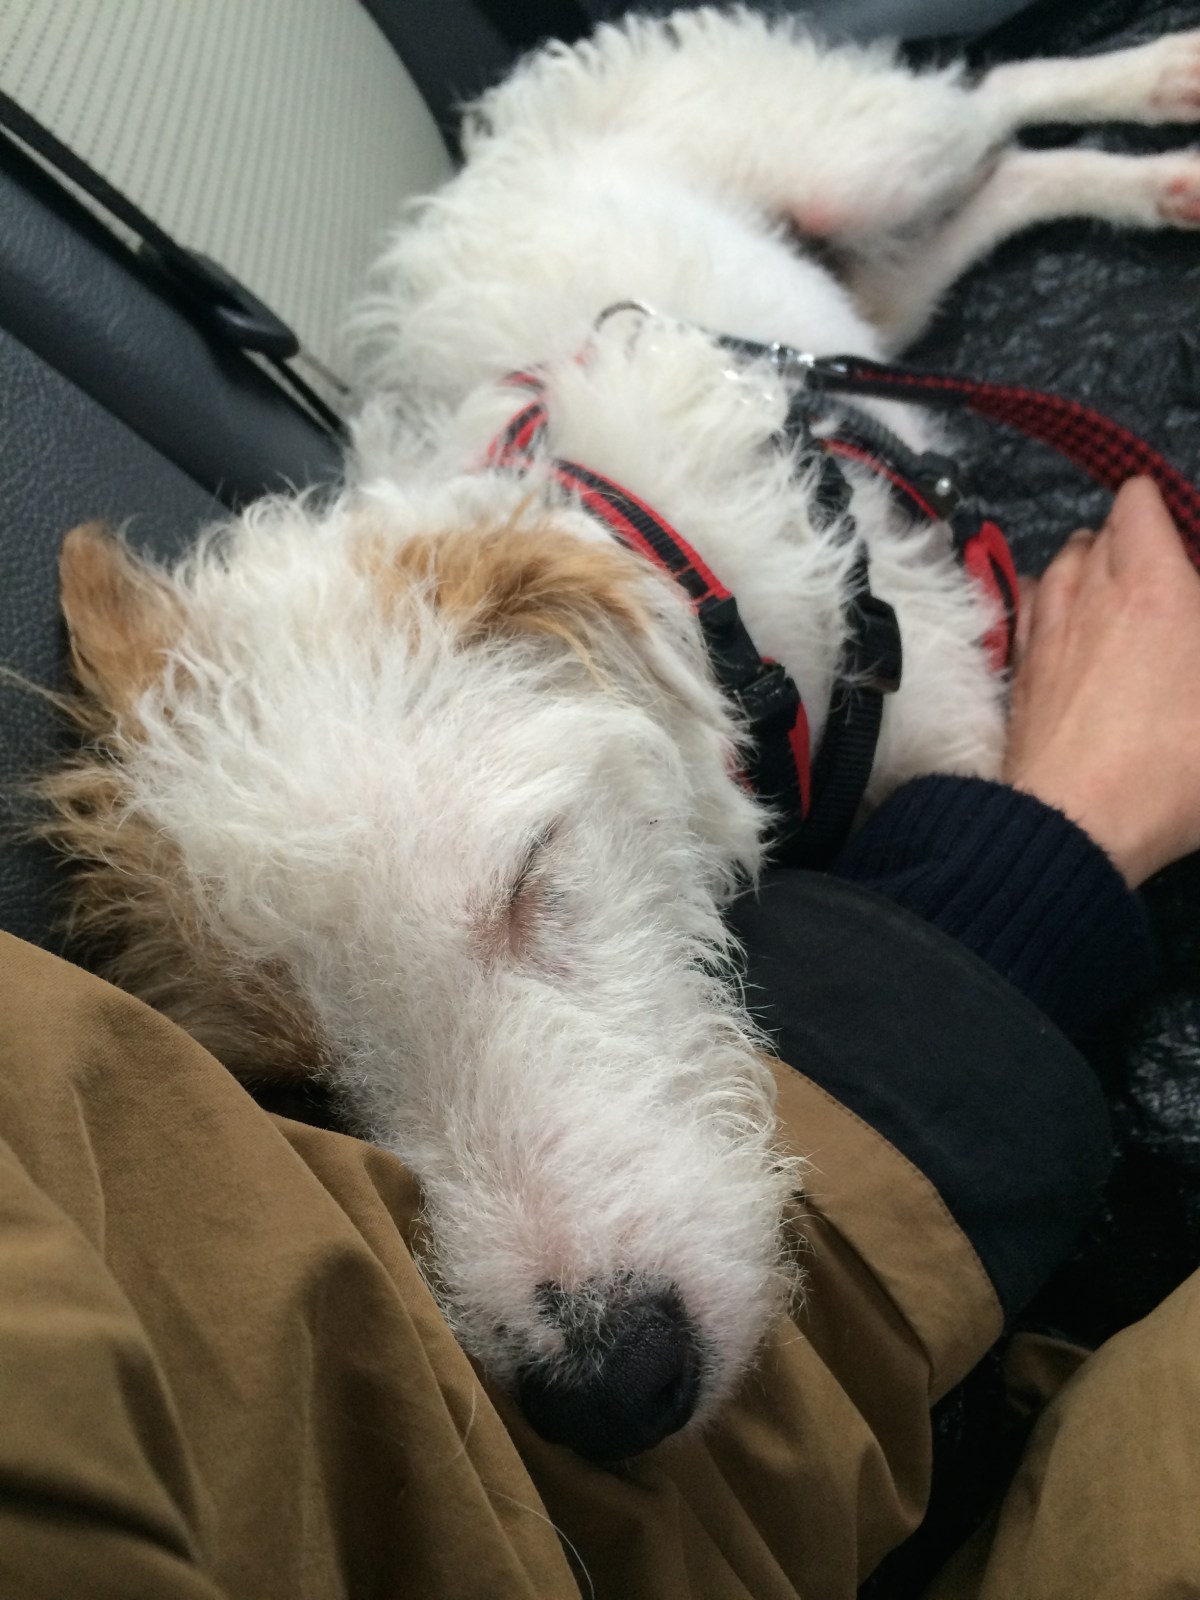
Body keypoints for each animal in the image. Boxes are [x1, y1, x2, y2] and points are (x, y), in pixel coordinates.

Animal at [44, 10, 1200, 1460]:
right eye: (294, 1082)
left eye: (529, 875)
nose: (611, 1388)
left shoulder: (954, 723)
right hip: (878, 280)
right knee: (1000, 186)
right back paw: (1163, 181)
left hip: (855, 160)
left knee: (995, 97)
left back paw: (1163, 85)